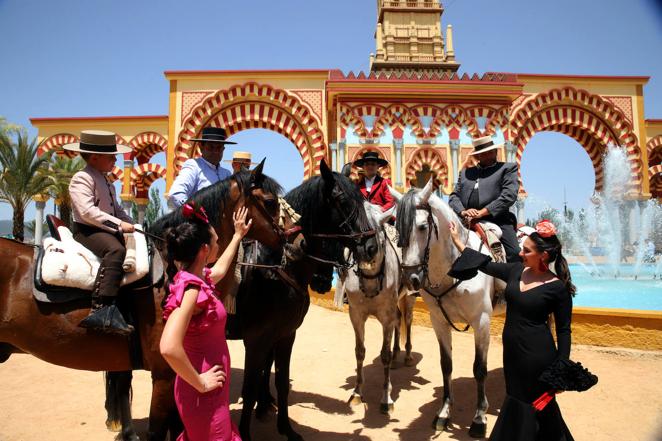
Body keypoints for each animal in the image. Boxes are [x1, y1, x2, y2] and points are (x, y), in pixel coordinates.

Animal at [235, 159, 378, 440]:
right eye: (342, 201)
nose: (371, 247)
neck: (274, 266)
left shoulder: (284, 333)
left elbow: (280, 381)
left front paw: (285, 427)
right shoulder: (255, 339)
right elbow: (250, 387)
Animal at [334, 201, 418, 414]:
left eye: (377, 227)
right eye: (353, 226)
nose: (366, 250)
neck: (371, 279)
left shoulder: (386, 317)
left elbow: (384, 355)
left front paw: (386, 399)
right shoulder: (356, 315)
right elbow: (359, 351)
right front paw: (356, 393)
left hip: (408, 298)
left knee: (407, 321)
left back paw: (407, 356)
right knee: (399, 321)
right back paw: (397, 355)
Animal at [390, 179, 504, 436]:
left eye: (423, 226)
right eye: (398, 230)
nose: (410, 279)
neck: (456, 269)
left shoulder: (482, 321)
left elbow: (479, 368)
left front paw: (479, 419)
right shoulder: (438, 321)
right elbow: (446, 365)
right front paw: (443, 413)